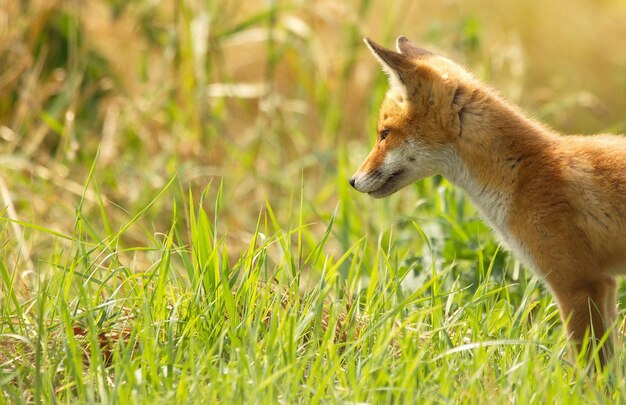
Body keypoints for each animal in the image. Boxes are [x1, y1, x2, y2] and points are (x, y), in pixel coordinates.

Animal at [348, 35, 624, 362]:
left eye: (384, 134)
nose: (352, 181)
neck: (521, 172)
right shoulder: (604, 283)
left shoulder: (578, 285)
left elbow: (592, 370)